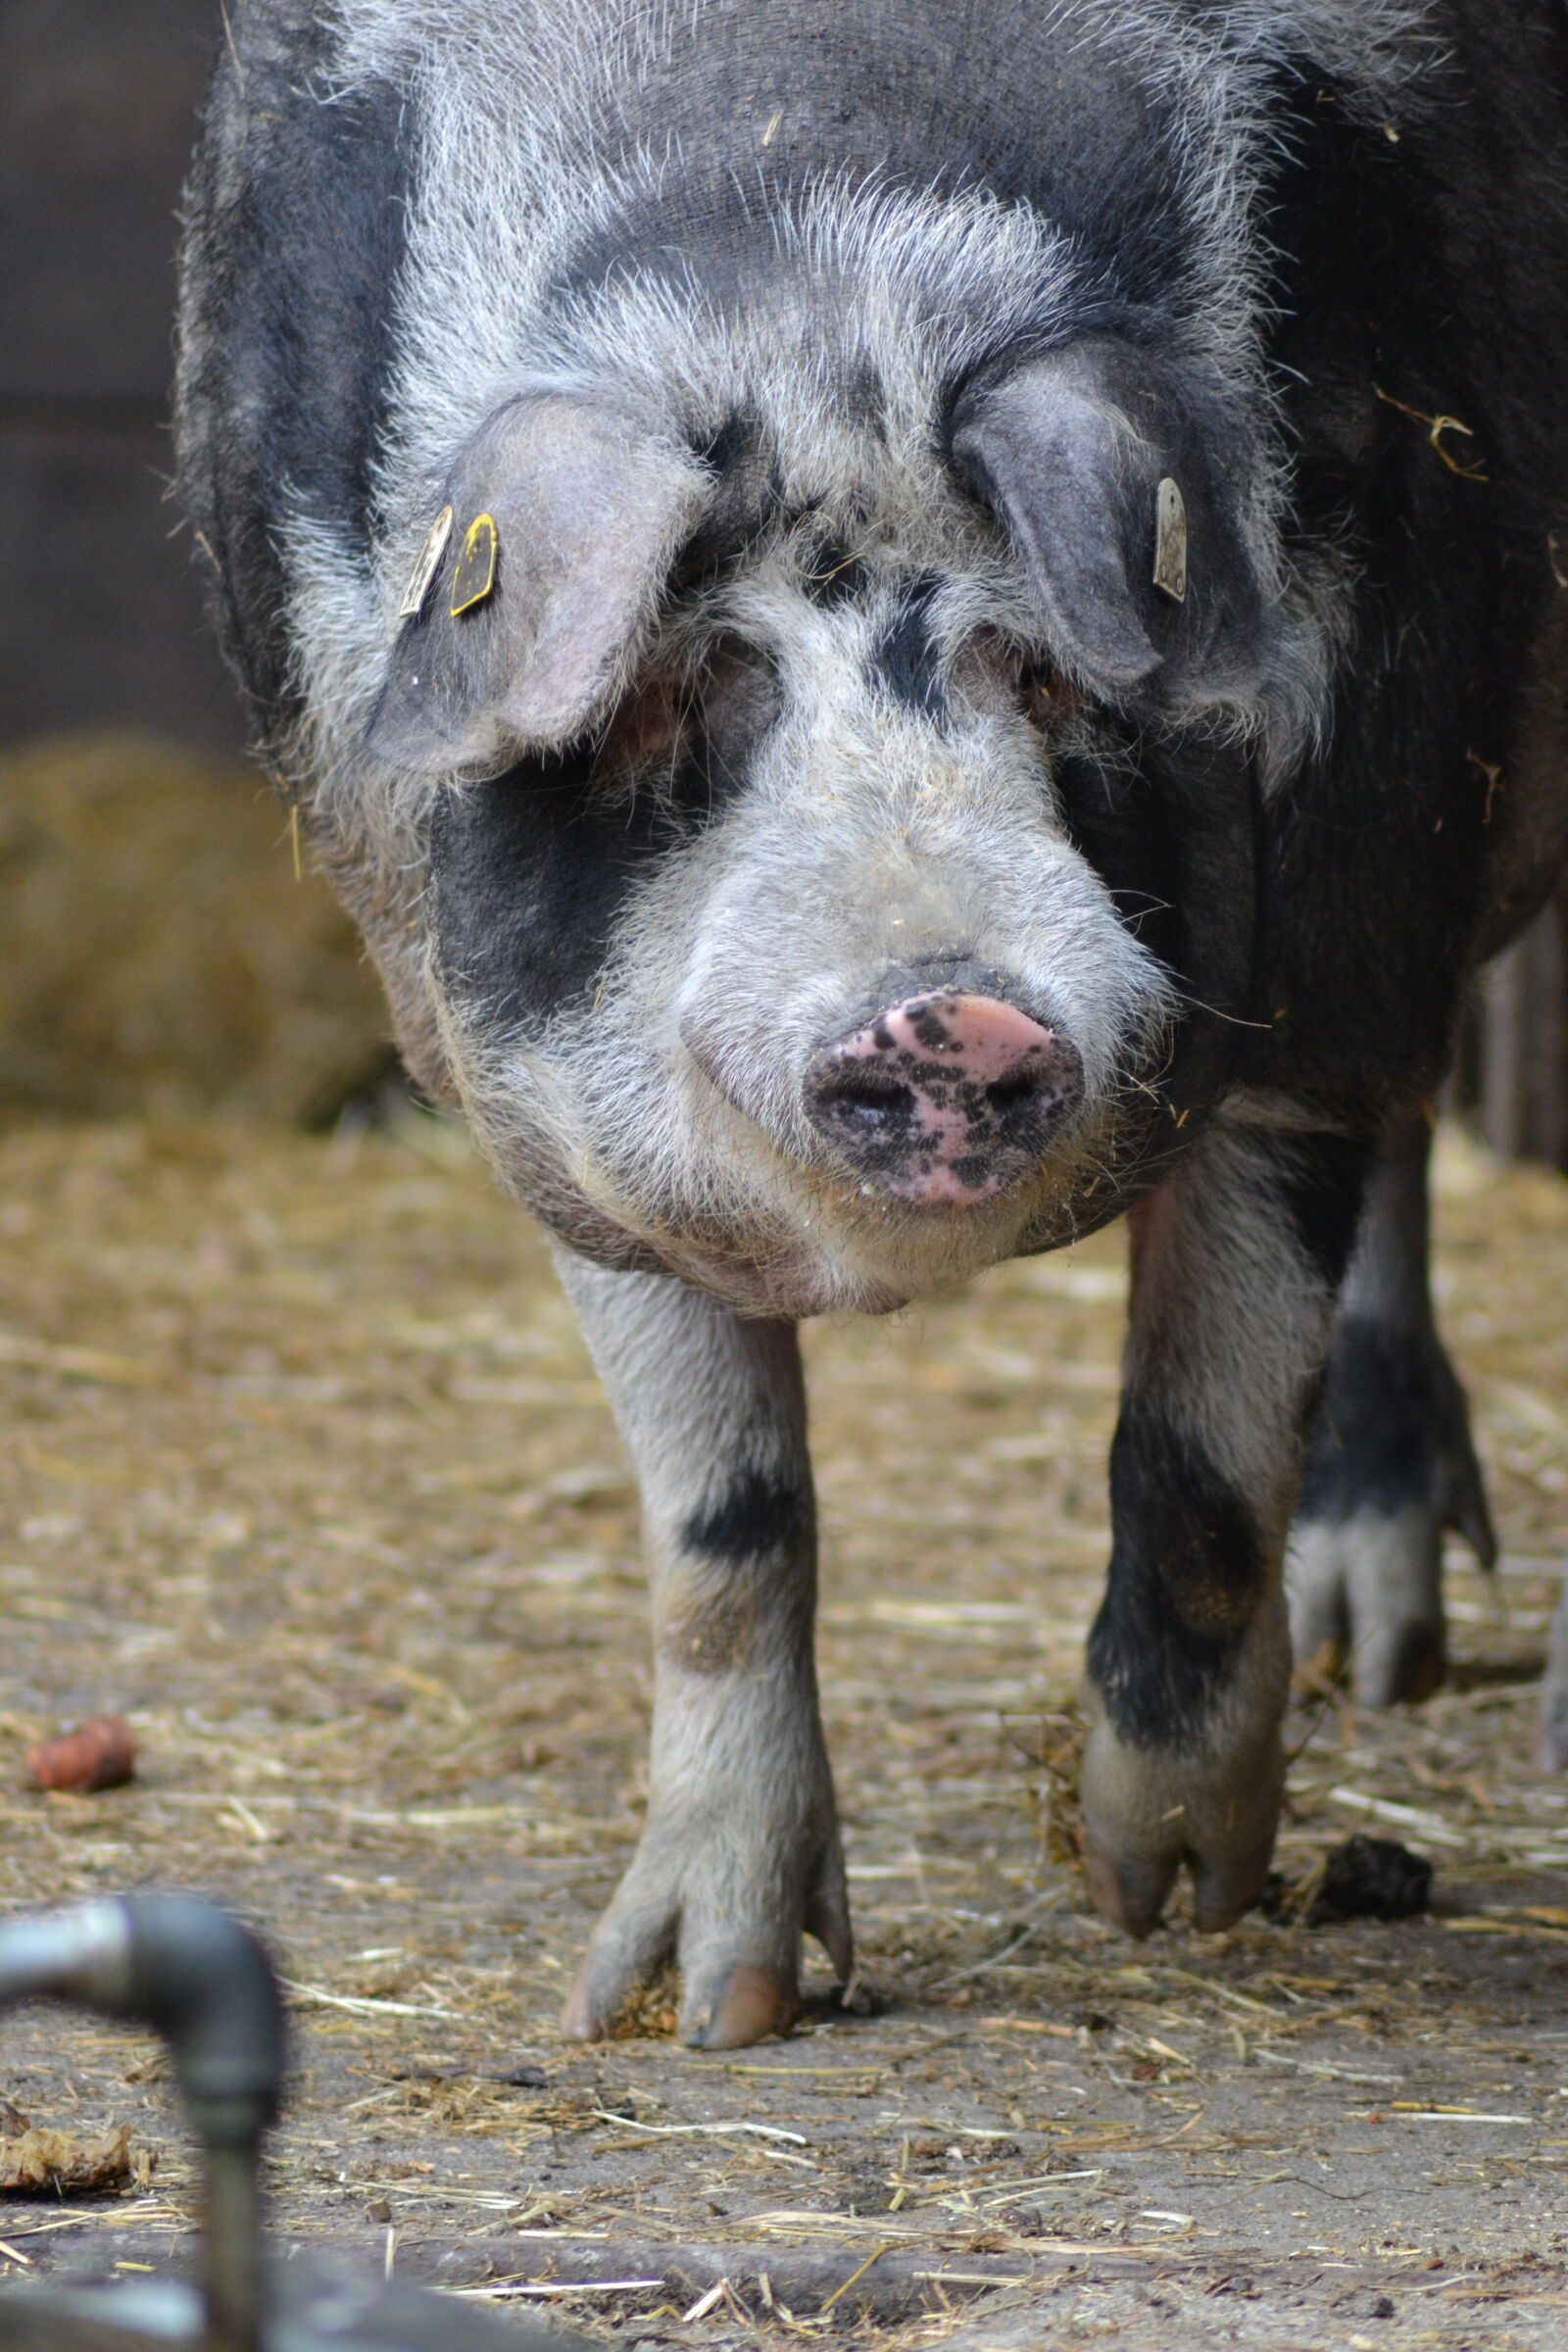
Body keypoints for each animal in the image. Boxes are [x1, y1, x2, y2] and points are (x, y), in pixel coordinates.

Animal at [175, 0, 1568, 2047]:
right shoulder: (530, 1088)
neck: (808, 250)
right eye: (683, 692)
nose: (948, 1009)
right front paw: (700, 2009)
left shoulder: (1343, 897)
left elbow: (1207, 1440)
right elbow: (723, 1522)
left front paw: (1165, 1897)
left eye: (1048, 673)